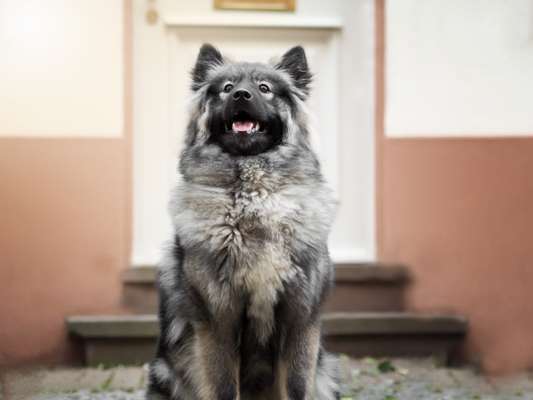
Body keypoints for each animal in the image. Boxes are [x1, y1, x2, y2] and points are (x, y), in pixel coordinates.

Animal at [147, 43, 336, 400]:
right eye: (226, 88)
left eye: (264, 88)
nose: (241, 95)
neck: (253, 199)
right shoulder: (218, 321)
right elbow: (222, 387)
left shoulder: (300, 319)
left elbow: (296, 387)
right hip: (165, 371)